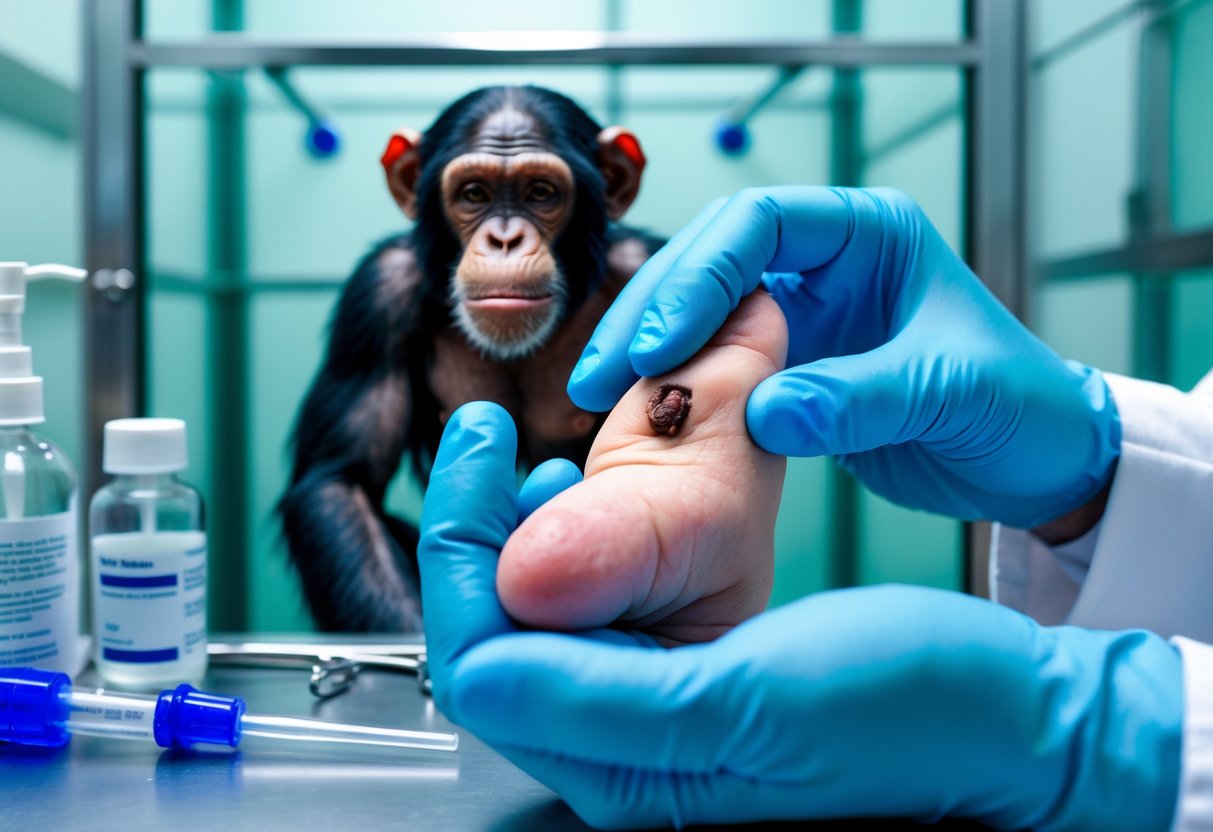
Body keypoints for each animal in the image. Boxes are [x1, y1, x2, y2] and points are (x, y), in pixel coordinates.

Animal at [279, 86, 661, 632]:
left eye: (540, 193)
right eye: (474, 194)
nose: (504, 240)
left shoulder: (647, 266)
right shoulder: (375, 298)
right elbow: (341, 480)